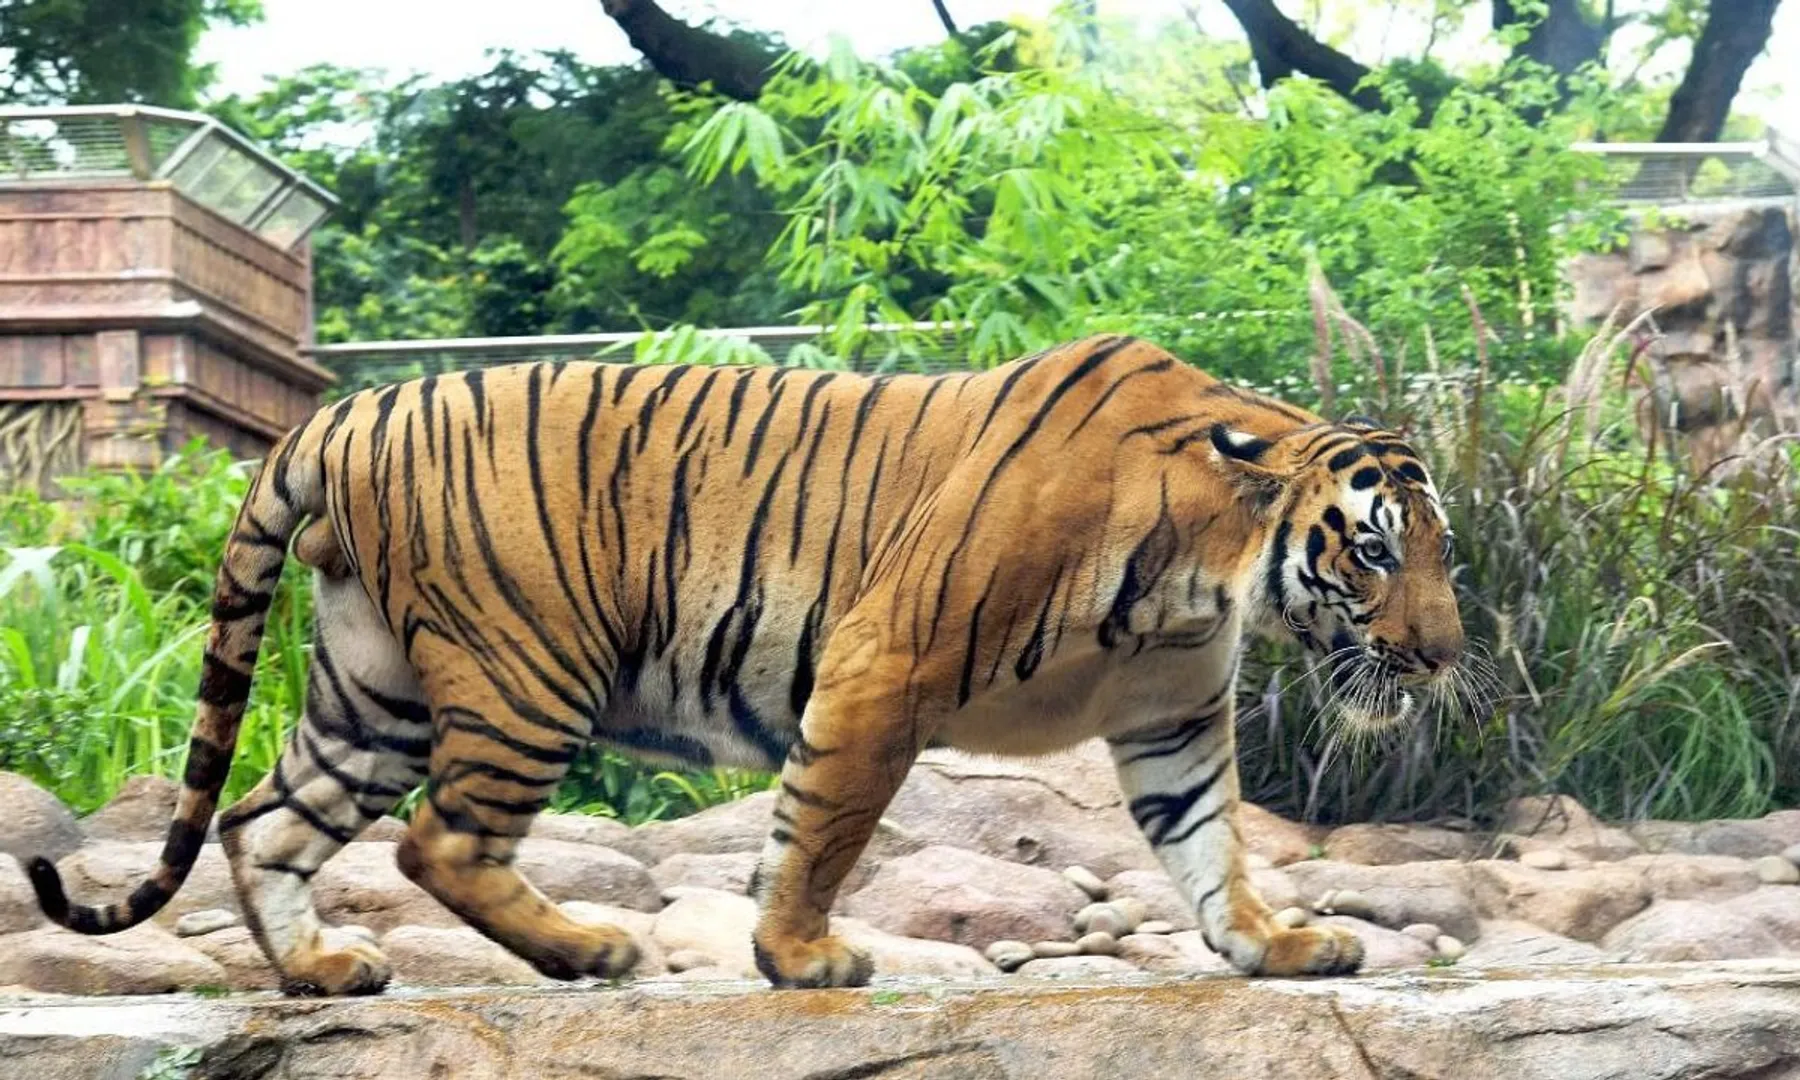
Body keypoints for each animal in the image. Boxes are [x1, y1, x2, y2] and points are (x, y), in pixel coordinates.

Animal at [27, 333, 1464, 995]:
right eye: (1376, 554)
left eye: (1443, 554)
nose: (1445, 657)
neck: (1206, 566)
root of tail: (343, 409)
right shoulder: (881, 668)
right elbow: (822, 829)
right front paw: (803, 959)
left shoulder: (1169, 718)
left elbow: (1209, 842)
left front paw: (1274, 946)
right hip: (526, 670)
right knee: (439, 841)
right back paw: (589, 951)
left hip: (370, 696)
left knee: (266, 820)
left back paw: (323, 973)